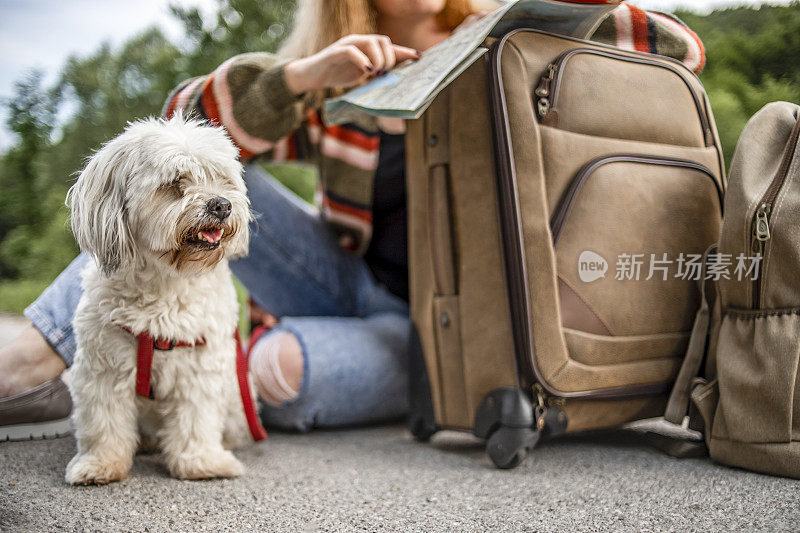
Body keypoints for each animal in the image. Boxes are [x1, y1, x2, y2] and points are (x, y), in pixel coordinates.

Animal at [67, 114, 258, 484]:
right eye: (174, 183)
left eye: (222, 179)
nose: (222, 204)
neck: (165, 285)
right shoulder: (102, 368)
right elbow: (103, 421)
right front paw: (100, 463)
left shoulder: (199, 366)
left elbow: (196, 419)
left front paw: (201, 462)